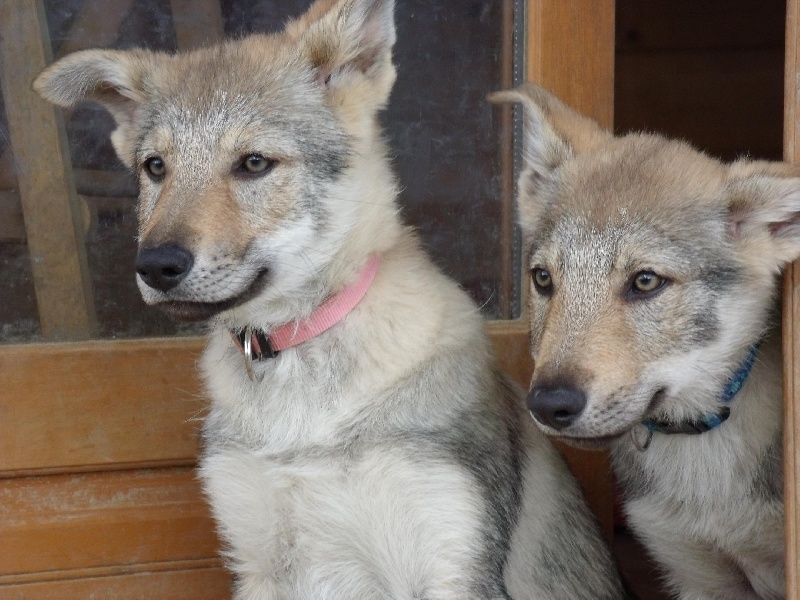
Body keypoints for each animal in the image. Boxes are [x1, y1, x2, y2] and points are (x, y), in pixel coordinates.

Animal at [33, 2, 626, 598]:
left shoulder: (451, 565)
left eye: (254, 163)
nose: (155, 265)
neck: (298, 369)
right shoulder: (259, 563)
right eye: (155, 167)